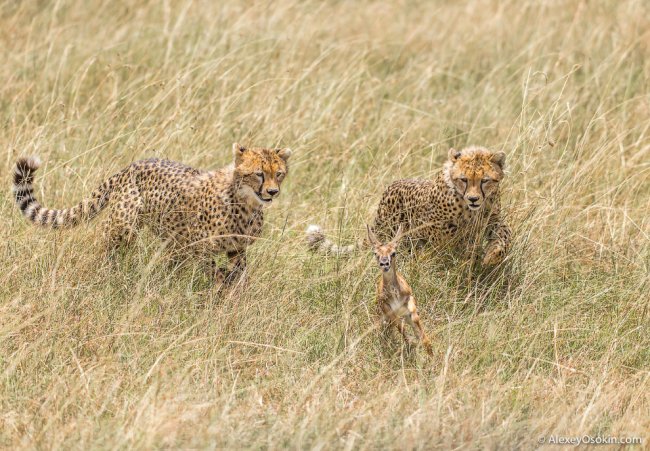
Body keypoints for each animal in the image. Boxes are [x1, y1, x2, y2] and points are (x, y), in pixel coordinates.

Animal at [13, 144, 292, 286]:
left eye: (278, 173)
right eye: (258, 173)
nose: (272, 192)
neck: (246, 203)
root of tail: (131, 166)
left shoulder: (237, 248)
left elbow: (239, 273)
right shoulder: (199, 246)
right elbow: (217, 272)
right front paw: (222, 285)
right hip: (123, 226)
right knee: (105, 246)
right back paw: (105, 274)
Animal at [306, 147, 508, 266]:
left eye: (485, 180)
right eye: (464, 179)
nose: (473, 199)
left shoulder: (493, 219)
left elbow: (504, 235)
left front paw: (492, 256)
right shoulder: (430, 226)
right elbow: (451, 239)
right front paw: (468, 252)